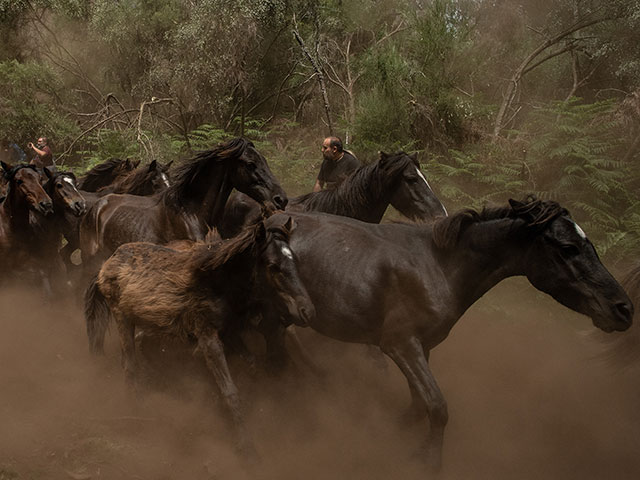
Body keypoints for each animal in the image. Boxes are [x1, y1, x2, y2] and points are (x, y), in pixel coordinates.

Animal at [85, 218, 316, 458]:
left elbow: (249, 364)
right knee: (129, 365)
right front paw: (246, 447)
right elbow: (230, 391)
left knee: (137, 348)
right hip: (122, 318)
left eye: (295, 260)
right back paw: (137, 409)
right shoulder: (208, 336)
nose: (307, 311)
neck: (218, 283)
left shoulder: (229, 334)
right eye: (272, 266)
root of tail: (106, 264)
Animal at [262, 197, 636, 470]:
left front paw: (395, 437)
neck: (439, 266)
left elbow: (418, 406)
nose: (624, 309)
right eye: (568, 247)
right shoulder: (399, 345)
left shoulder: (422, 348)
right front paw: (429, 462)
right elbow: (438, 407)